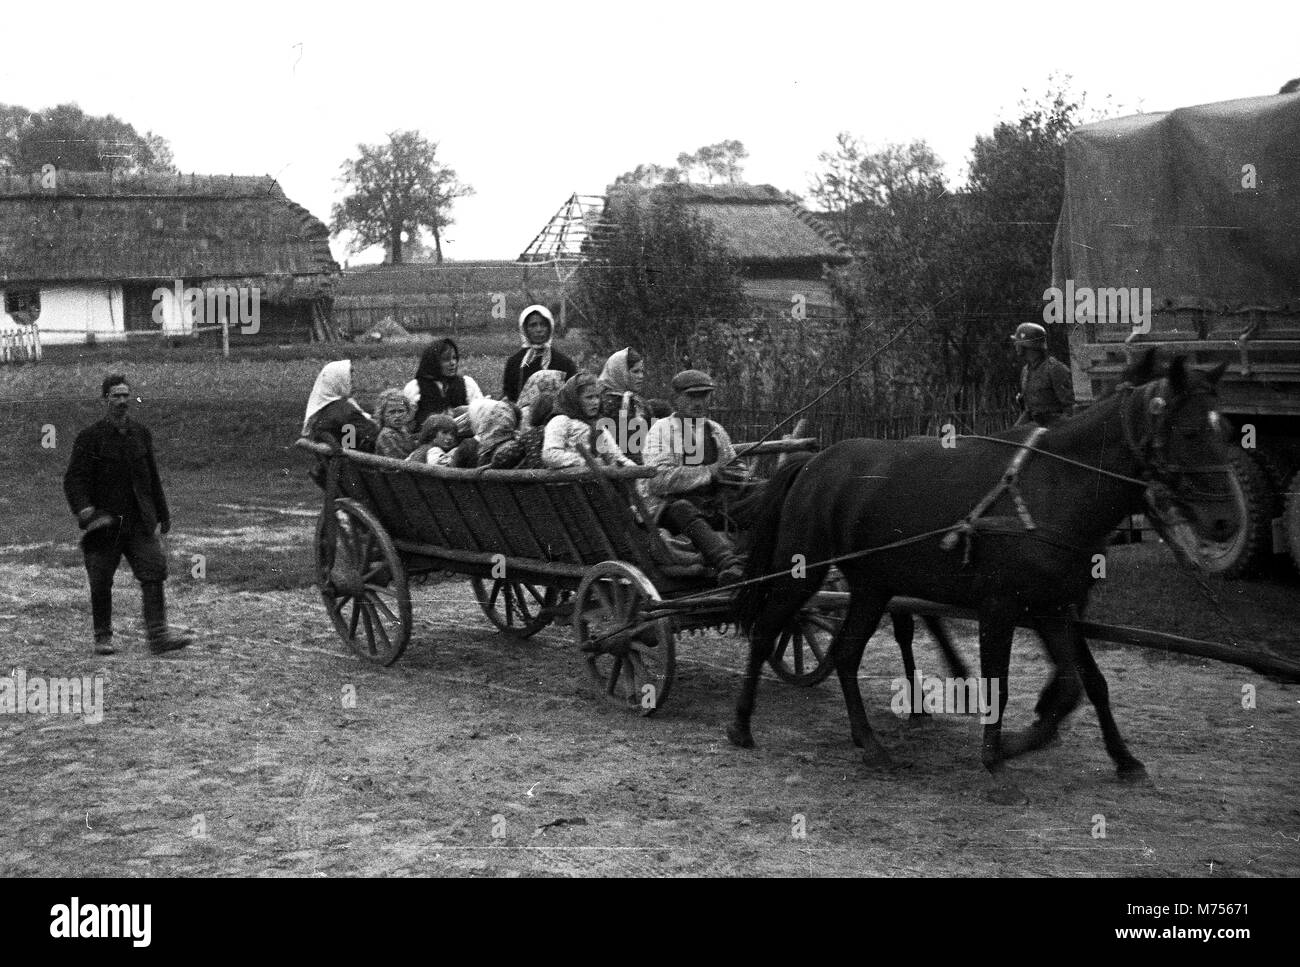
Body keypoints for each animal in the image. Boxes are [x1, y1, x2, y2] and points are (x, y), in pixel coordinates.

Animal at [738, 353, 1232, 779]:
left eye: (1224, 429)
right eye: (1190, 432)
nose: (1224, 521)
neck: (1055, 488)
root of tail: (813, 461)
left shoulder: (1055, 606)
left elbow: (1083, 683)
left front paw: (1115, 756)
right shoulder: (1000, 606)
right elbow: (1003, 682)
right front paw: (997, 752)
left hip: (871, 587)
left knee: (845, 655)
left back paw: (871, 743)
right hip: (802, 572)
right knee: (766, 631)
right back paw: (741, 725)